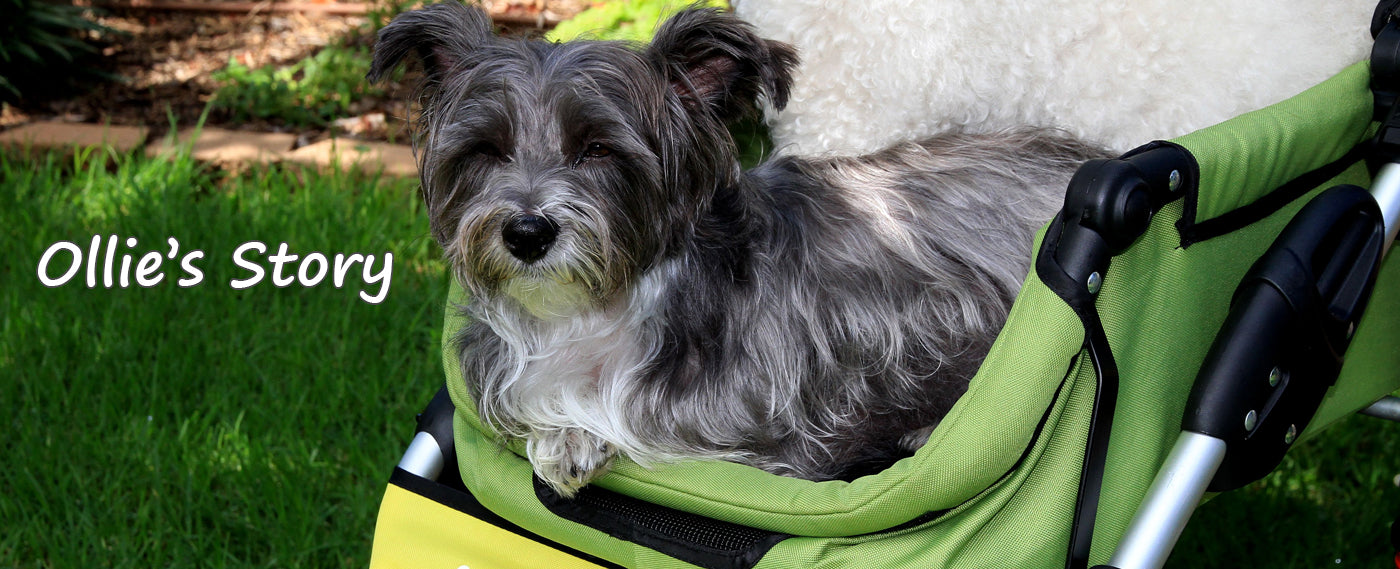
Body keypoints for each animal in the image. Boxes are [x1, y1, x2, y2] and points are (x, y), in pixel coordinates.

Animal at [369, 2, 1103, 496]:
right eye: (485, 149)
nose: (526, 232)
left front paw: (578, 436)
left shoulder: (778, 431)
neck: (595, 314)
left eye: (598, 148)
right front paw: (565, 434)